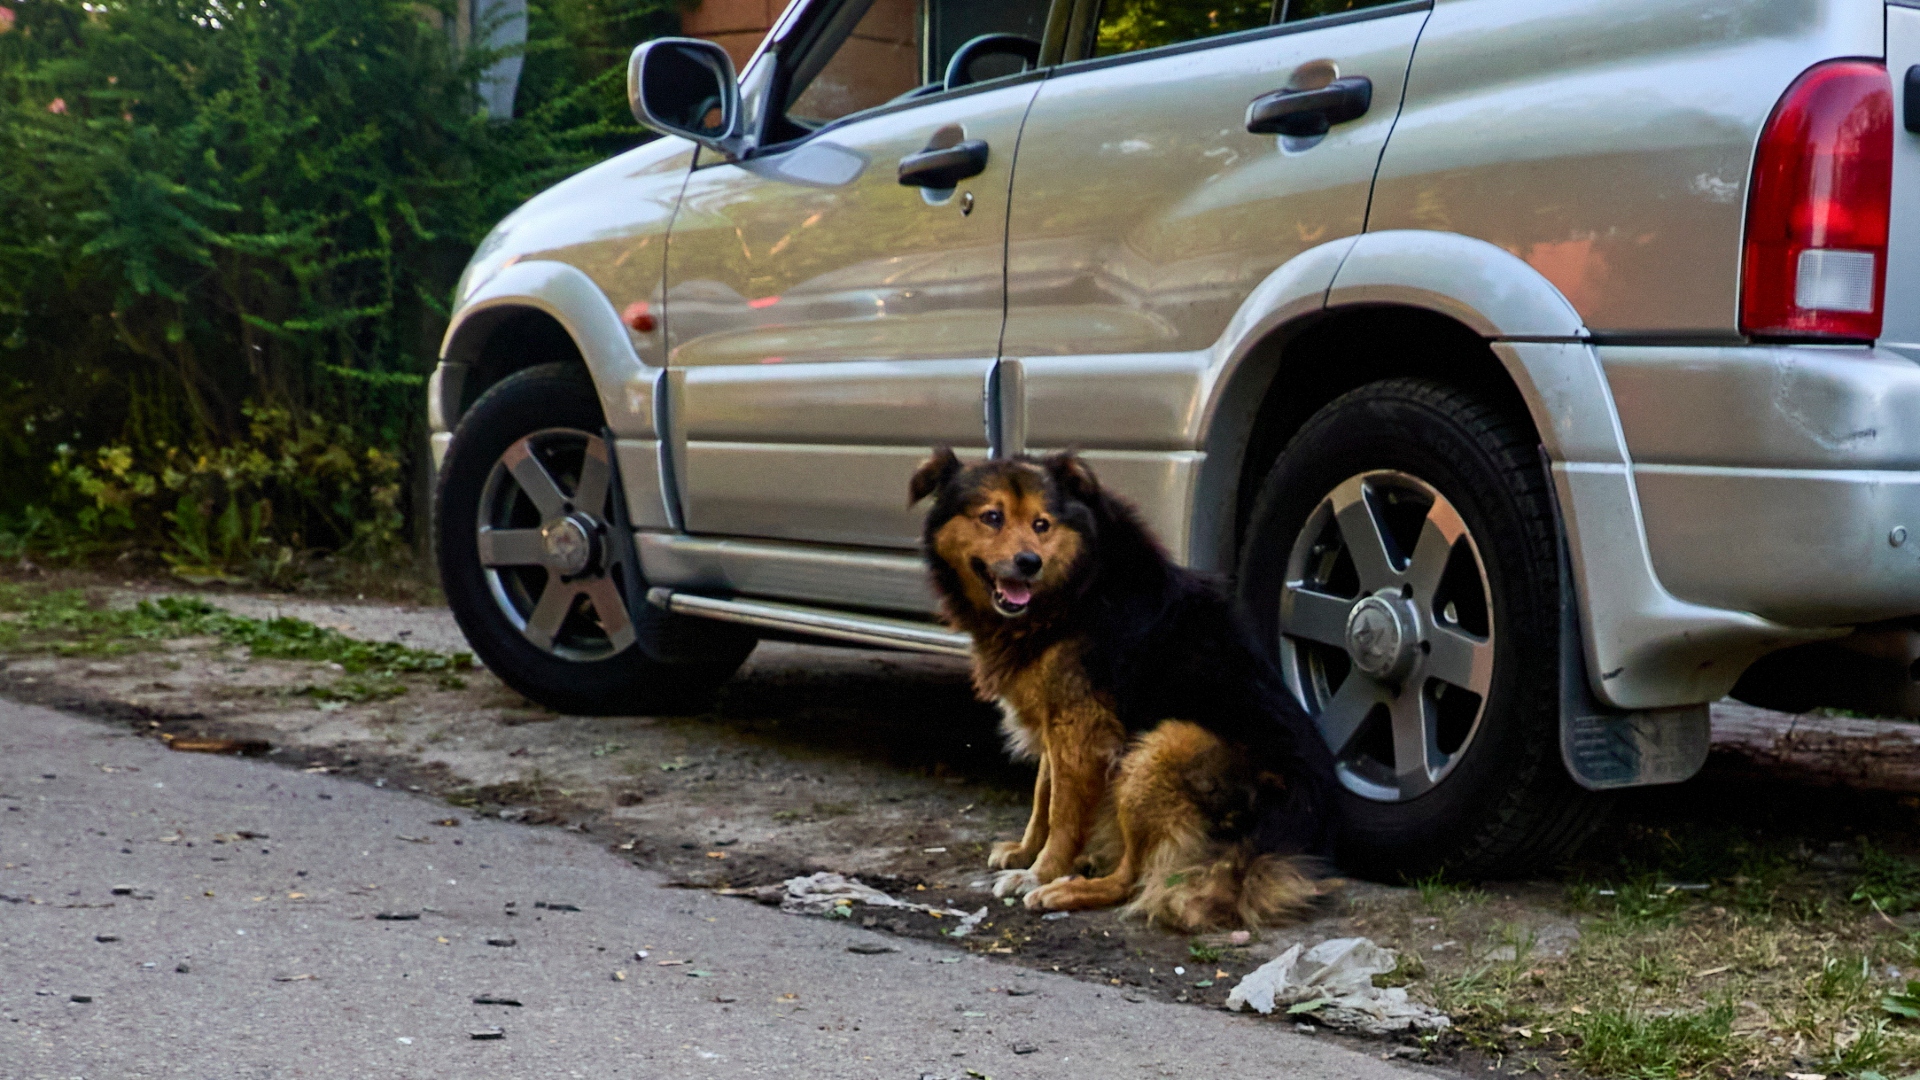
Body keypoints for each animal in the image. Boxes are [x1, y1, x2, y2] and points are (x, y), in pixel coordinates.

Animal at [910, 445, 1336, 926]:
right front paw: (1025, 852)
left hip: (1162, 745)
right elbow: (1043, 795)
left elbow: (1062, 812)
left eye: (1042, 524)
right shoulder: (1059, 718)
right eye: (992, 517)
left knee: (1135, 878)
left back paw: (1067, 889)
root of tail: (1274, 843)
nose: (1029, 563)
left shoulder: (1080, 727)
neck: (1078, 583)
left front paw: (1040, 872)